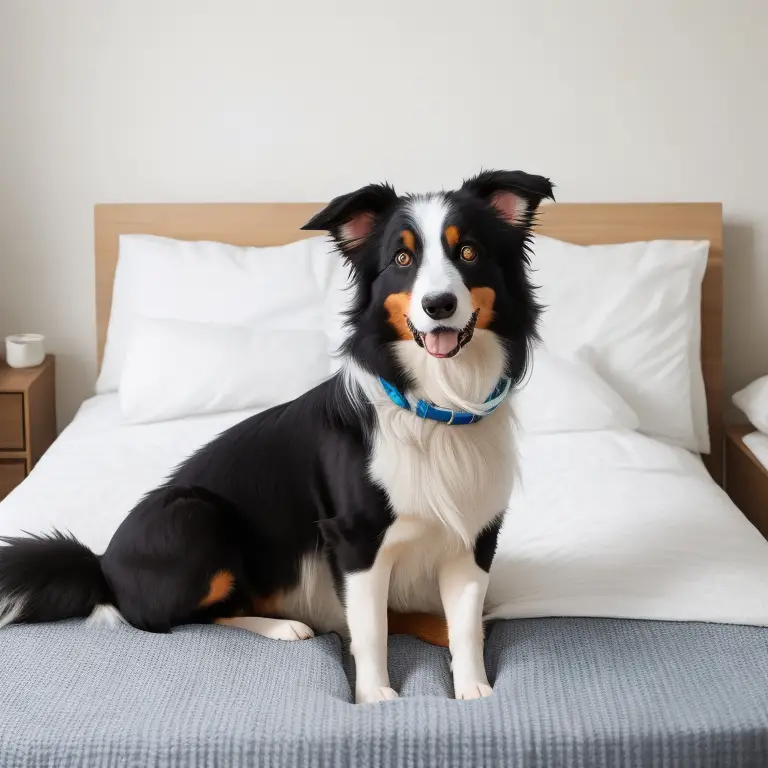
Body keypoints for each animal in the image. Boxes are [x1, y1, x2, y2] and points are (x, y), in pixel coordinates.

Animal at [0, 171, 552, 704]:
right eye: (402, 258)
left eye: (469, 252)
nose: (439, 305)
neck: (438, 406)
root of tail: (102, 566)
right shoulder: (356, 538)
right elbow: (369, 629)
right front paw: (376, 697)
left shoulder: (473, 536)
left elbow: (466, 626)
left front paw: (474, 690)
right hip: (195, 514)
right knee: (179, 616)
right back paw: (286, 626)